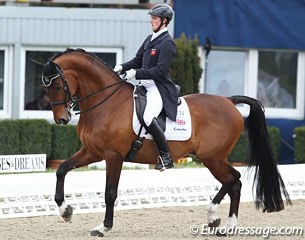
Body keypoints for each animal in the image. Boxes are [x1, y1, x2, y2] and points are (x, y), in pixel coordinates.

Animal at [39, 48, 290, 236]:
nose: (62, 119)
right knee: (234, 183)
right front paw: (65, 211)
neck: (105, 103)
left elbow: (110, 192)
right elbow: (61, 169)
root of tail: (229, 101)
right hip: (214, 158)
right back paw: (223, 224)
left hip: (212, 158)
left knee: (233, 180)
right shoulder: (92, 151)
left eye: (58, 85)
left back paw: (218, 218)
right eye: (46, 87)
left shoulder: (113, 156)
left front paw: (103, 227)